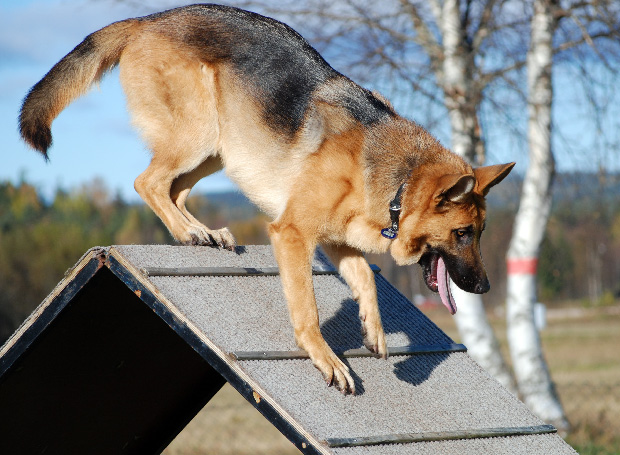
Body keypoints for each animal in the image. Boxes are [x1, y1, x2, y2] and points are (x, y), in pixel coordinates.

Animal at [19, 4, 512, 396]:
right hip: (201, 134)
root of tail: (149, 19)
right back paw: (189, 232)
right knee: (148, 183)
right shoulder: (293, 234)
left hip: (220, 149)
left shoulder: (337, 241)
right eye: (463, 234)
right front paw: (326, 359)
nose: (486, 288)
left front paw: (373, 329)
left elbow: (366, 281)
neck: (397, 185)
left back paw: (202, 231)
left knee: (174, 188)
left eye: (479, 233)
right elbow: (308, 309)